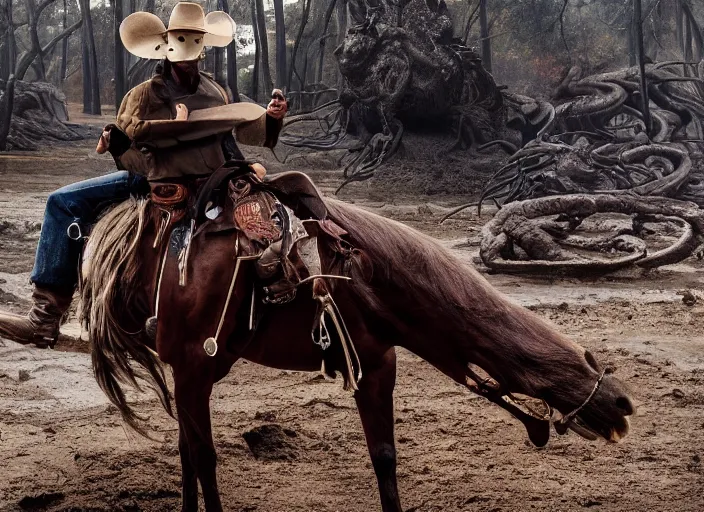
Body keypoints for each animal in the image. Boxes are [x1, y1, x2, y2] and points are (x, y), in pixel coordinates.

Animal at [80, 169, 636, 512]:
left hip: (198, 369)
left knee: (186, 450)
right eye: (582, 364)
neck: (371, 280)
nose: (623, 404)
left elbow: (384, 457)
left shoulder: (378, 365)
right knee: (201, 455)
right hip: (194, 366)